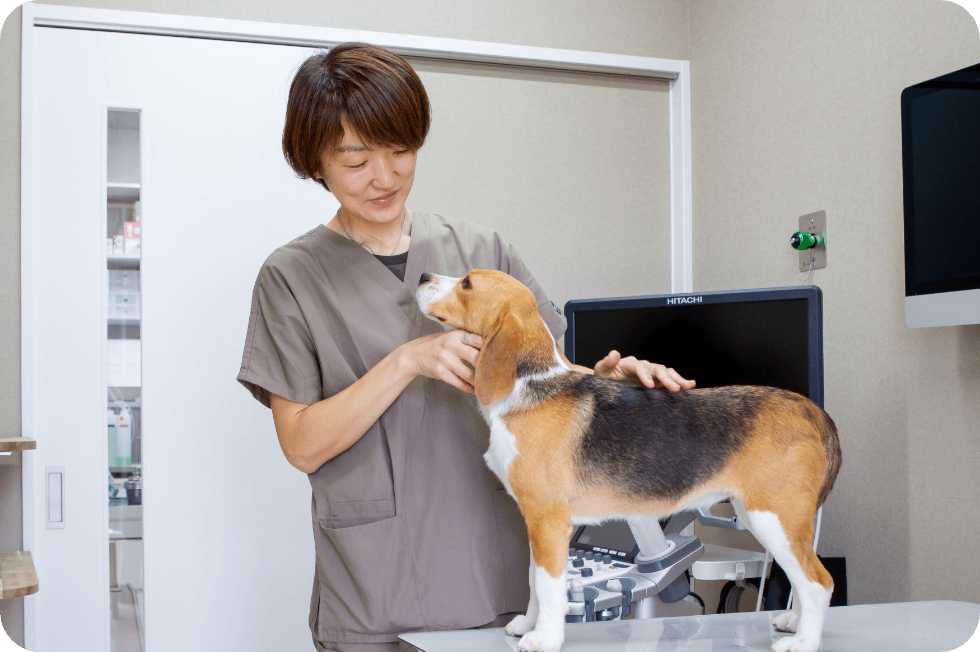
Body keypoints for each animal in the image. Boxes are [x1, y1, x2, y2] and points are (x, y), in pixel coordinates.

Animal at [416, 268, 844, 652]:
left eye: (467, 283)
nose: (421, 276)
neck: (530, 385)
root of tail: (808, 409)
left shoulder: (548, 518)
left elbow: (550, 586)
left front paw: (544, 638)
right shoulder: (535, 522)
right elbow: (534, 580)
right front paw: (528, 624)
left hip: (775, 518)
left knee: (818, 581)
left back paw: (804, 641)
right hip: (765, 518)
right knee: (803, 577)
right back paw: (794, 622)